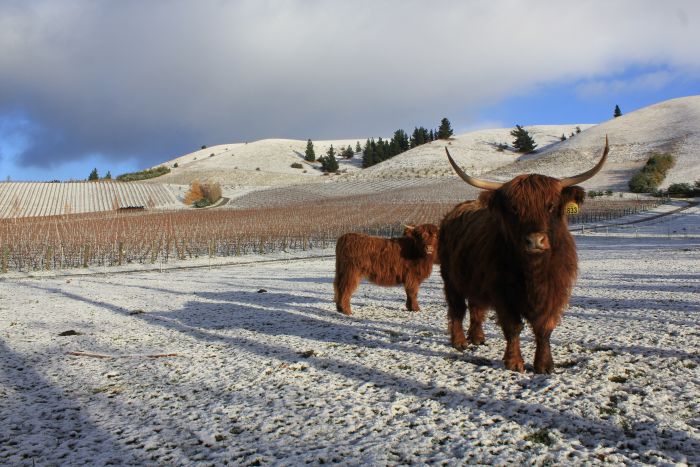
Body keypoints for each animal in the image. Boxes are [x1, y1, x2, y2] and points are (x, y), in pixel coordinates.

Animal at [439, 137, 608, 373]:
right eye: (514, 209)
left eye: (551, 206)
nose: (535, 240)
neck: (533, 273)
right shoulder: (502, 293)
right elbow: (513, 327)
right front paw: (514, 362)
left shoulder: (555, 292)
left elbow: (544, 328)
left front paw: (544, 365)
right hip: (451, 279)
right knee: (457, 308)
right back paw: (460, 341)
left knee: (476, 306)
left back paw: (478, 337)